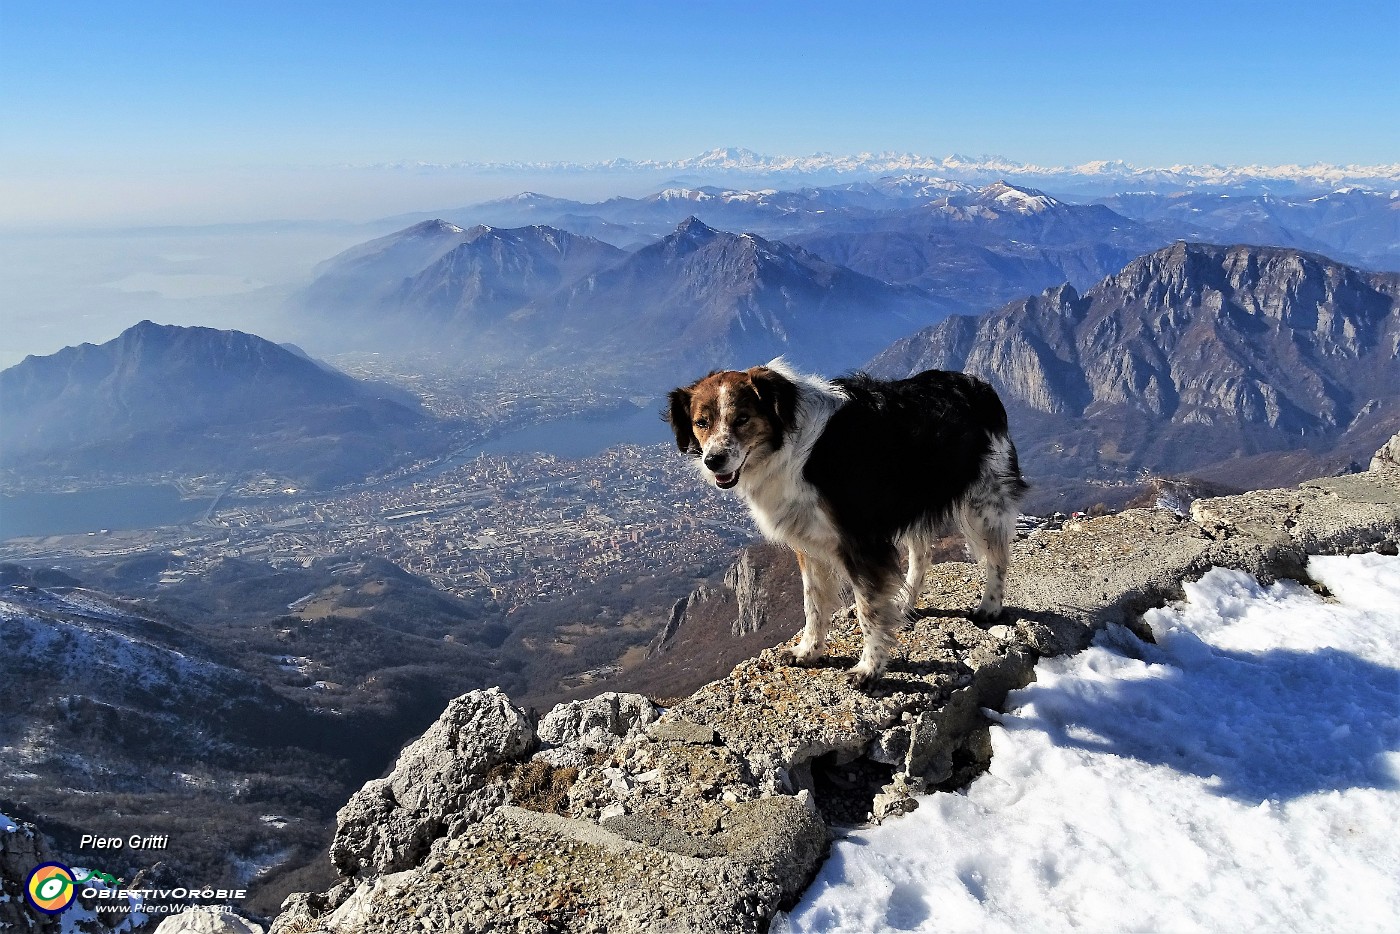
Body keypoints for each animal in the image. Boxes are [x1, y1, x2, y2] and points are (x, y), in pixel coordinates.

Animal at [660, 361, 1024, 691]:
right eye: (701, 422)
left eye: (742, 419)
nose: (713, 460)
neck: (790, 446)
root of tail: (977, 384)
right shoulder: (808, 542)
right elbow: (813, 602)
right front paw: (808, 651)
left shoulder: (861, 541)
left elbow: (868, 611)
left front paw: (869, 669)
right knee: (921, 554)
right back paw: (904, 606)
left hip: (985, 501)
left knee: (997, 556)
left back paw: (990, 606)